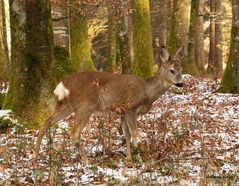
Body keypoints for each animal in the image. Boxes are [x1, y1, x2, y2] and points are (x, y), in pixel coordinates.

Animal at [32, 46, 184, 163]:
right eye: (172, 70)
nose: (181, 83)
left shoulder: (122, 113)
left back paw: (35, 155)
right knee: (74, 132)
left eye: (181, 70)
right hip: (86, 106)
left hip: (66, 106)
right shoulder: (130, 107)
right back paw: (86, 161)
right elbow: (135, 134)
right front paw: (140, 159)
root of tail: (62, 85)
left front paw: (129, 157)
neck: (147, 90)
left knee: (46, 122)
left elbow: (127, 135)